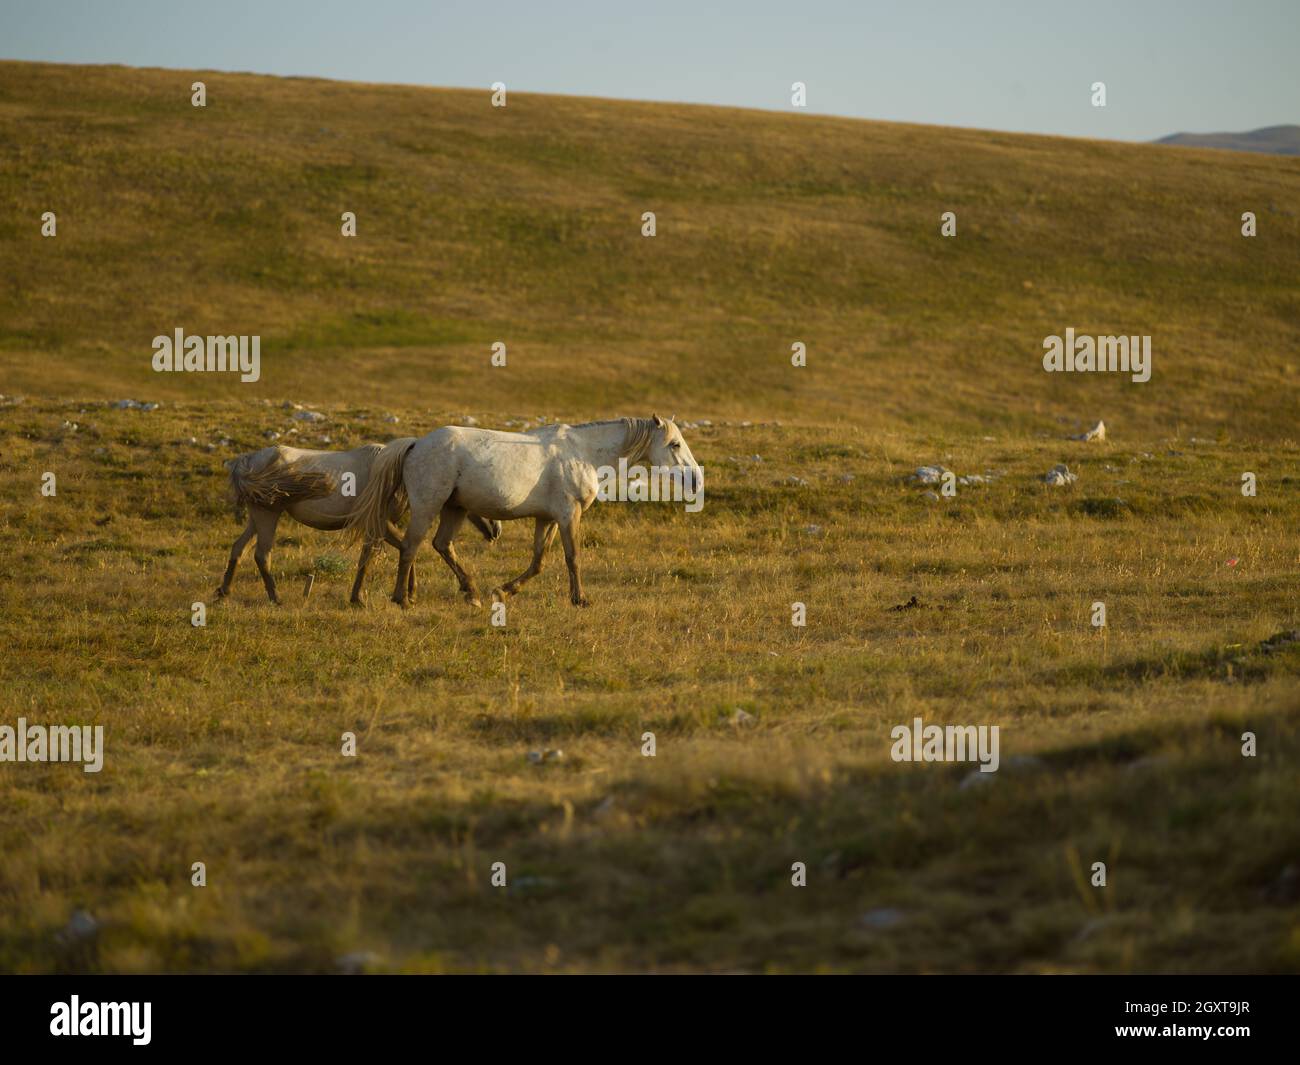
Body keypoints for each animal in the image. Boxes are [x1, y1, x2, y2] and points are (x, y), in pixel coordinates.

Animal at [217, 442, 501, 604]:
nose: (496, 530)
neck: (395, 471)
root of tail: (246, 461)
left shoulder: (381, 525)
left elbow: (398, 549)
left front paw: (409, 592)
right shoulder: (377, 523)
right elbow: (372, 555)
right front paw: (361, 598)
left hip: (257, 517)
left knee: (239, 548)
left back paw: (223, 592)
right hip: (268, 515)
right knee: (262, 554)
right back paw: (275, 598)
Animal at [344, 415, 702, 608]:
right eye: (674, 444)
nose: (696, 479)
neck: (582, 453)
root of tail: (416, 444)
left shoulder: (547, 519)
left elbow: (539, 561)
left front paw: (504, 589)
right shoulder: (568, 514)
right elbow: (573, 557)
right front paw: (580, 599)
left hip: (455, 509)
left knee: (441, 545)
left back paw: (472, 592)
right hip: (428, 506)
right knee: (410, 546)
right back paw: (403, 599)